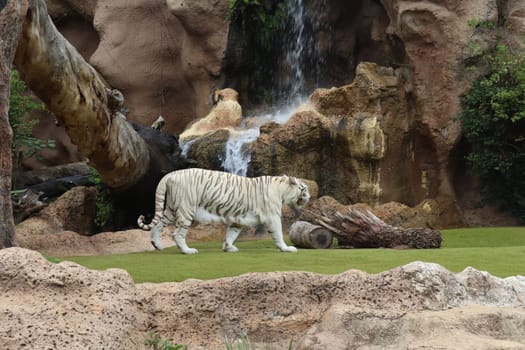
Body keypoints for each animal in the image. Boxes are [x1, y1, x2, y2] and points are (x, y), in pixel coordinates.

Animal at [136, 167, 308, 253]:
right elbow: (278, 233)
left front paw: (228, 247)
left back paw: (157, 245)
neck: (281, 188)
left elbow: (231, 234)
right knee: (177, 234)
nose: (309, 196)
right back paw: (187, 250)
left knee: (158, 225)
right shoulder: (272, 216)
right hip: (186, 209)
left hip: (171, 209)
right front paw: (286, 248)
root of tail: (170, 175)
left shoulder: (239, 219)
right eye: (303, 188)